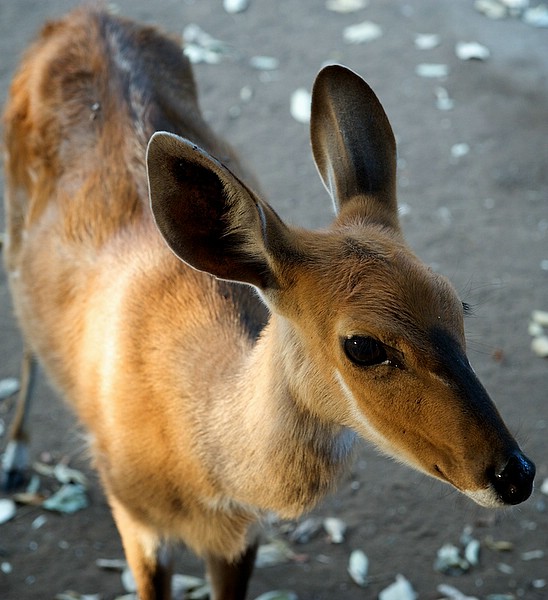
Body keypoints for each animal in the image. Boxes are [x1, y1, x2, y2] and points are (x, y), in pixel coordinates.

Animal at [3, 5, 536, 600]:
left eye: (457, 305)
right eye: (363, 346)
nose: (515, 475)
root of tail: (83, 15)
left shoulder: (241, 537)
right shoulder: (134, 516)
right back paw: (15, 459)